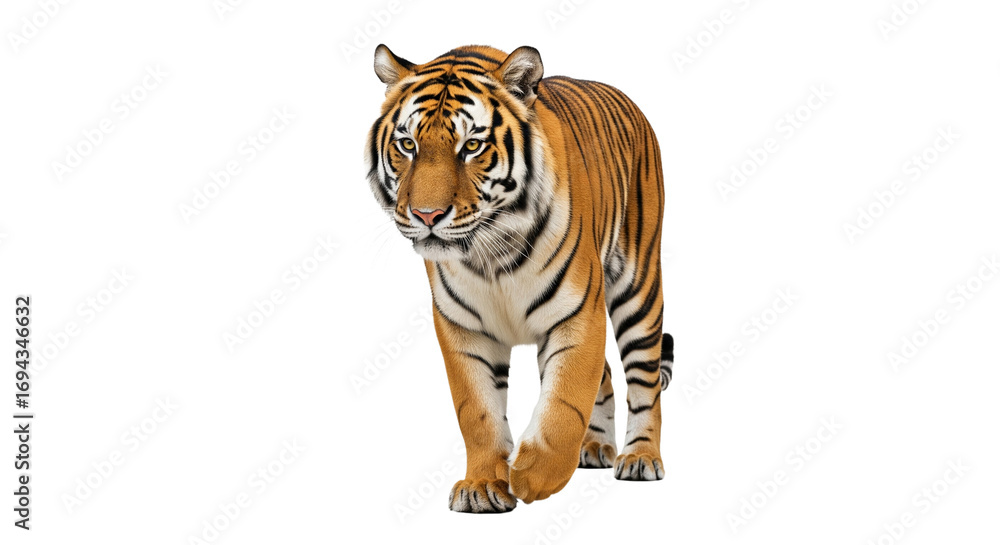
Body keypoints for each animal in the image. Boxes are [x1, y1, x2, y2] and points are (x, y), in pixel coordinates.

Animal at [365, 44, 674, 513]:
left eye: (472, 146)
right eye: (408, 144)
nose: (427, 216)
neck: (490, 252)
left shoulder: (577, 315)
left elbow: (565, 402)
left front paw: (532, 476)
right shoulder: (463, 328)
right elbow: (478, 411)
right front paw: (482, 486)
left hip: (639, 288)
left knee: (645, 378)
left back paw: (639, 457)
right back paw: (595, 448)